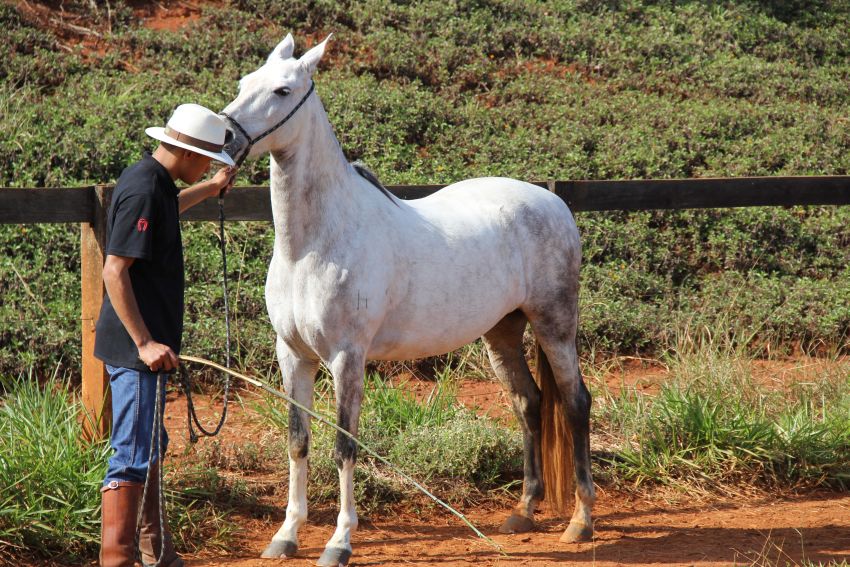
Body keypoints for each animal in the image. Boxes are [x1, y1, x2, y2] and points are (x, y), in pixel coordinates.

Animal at [220, 34, 595, 566]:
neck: (316, 243)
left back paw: (581, 521)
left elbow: (344, 446)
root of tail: (554, 202)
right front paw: (286, 534)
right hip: (502, 332)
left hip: (554, 323)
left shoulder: (346, 358)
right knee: (529, 402)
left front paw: (339, 542)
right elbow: (298, 442)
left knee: (575, 402)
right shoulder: (292, 355)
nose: (226, 137)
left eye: (282, 90)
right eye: (243, 83)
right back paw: (523, 511)